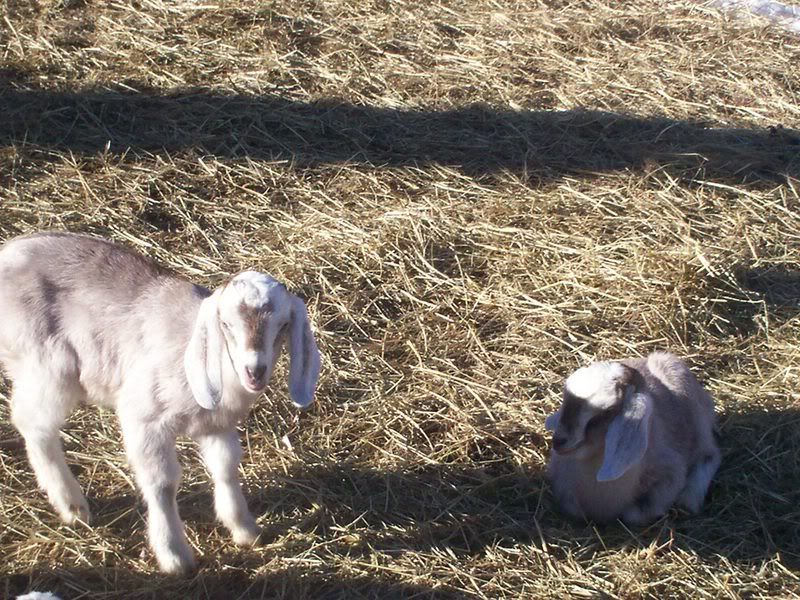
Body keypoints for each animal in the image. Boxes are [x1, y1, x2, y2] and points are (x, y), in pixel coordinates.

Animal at [0, 232, 321, 573]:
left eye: (283, 325)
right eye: (226, 325)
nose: (255, 371)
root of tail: (9, 253)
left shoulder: (217, 424)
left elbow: (226, 468)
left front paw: (244, 529)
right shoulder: (144, 418)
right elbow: (162, 485)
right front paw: (174, 555)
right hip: (46, 365)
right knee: (34, 424)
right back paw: (71, 504)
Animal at [545, 351, 719, 525]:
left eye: (607, 412)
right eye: (566, 401)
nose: (558, 441)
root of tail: (646, 359)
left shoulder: (672, 473)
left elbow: (633, 515)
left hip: (699, 420)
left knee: (711, 454)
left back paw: (690, 498)